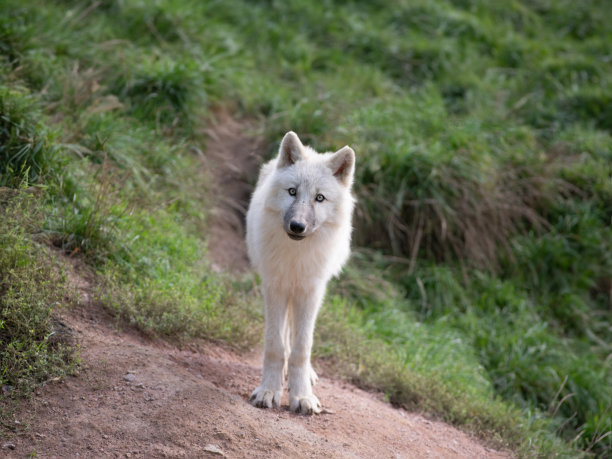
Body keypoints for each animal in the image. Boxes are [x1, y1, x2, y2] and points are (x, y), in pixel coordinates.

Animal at [246, 131, 356, 416]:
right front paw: (269, 391)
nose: (297, 226)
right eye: (292, 192)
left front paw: (302, 396)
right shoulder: (275, 287)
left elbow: (302, 348)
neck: (297, 256)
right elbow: (275, 345)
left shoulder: (310, 292)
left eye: (320, 198)